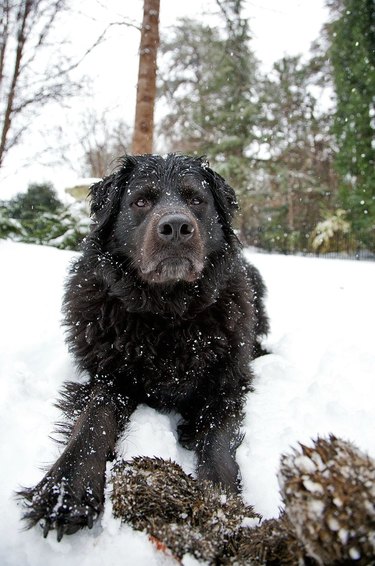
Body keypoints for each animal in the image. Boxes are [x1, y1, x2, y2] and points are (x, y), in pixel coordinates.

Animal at [19, 154, 268, 540]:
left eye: (196, 199)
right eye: (140, 202)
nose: (177, 227)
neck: (166, 313)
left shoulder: (224, 384)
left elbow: (217, 441)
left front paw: (222, 508)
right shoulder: (108, 375)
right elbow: (92, 422)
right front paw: (66, 490)